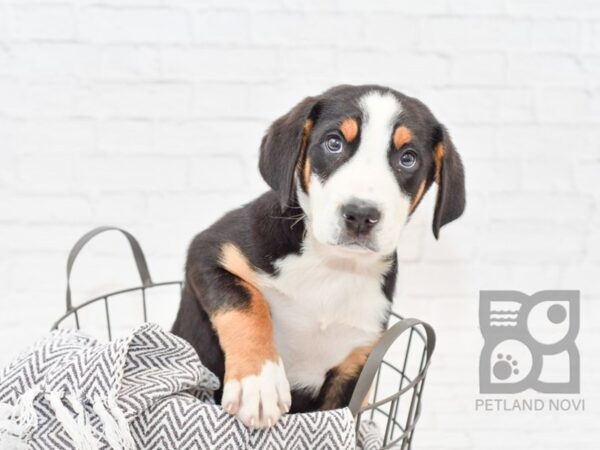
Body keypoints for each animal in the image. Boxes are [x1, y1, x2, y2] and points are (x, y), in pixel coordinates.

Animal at [171, 85, 466, 428]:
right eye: (333, 142)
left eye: (408, 158)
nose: (360, 214)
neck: (333, 264)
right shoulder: (208, 251)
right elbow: (246, 302)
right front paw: (258, 382)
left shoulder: (354, 365)